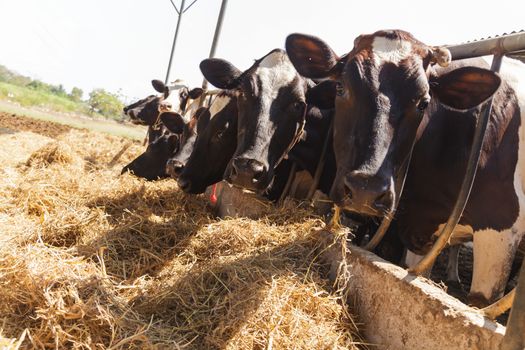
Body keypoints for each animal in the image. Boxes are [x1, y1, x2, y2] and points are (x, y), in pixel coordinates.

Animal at [286, 30, 524, 306]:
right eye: (340, 87)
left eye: (423, 103)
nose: (365, 190)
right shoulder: (417, 226)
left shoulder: (501, 227)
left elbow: (480, 301)